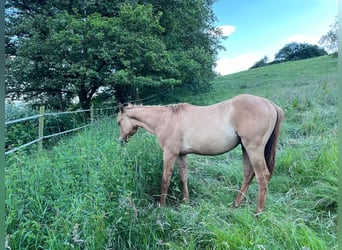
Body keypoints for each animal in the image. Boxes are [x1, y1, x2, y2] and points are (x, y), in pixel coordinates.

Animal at [117, 94, 284, 213]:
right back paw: (235, 205)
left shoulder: (170, 154)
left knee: (262, 177)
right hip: (245, 148)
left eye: (119, 122)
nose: (120, 141)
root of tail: (269, 104)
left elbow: (165, 180)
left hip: (253, 149)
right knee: (249, 174)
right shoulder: (181, 155)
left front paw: (161, 207)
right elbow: (183, 177)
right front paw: (186, 202)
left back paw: (258, 213)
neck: (166, 119)